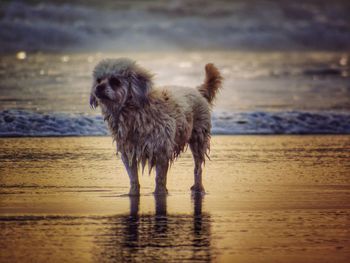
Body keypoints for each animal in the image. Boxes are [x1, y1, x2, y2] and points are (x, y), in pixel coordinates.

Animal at [89, 59, 223, 196]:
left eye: (115, 81)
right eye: (99, 80)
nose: (98, 88)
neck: (134, 112)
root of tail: (197, 90)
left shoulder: (161, 150)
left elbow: (160, 178)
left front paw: (159, 193)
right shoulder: (128, 151)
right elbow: (133, 177)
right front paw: (133, 193)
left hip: (198, 138)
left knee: (198, 166)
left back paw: (198, 187)